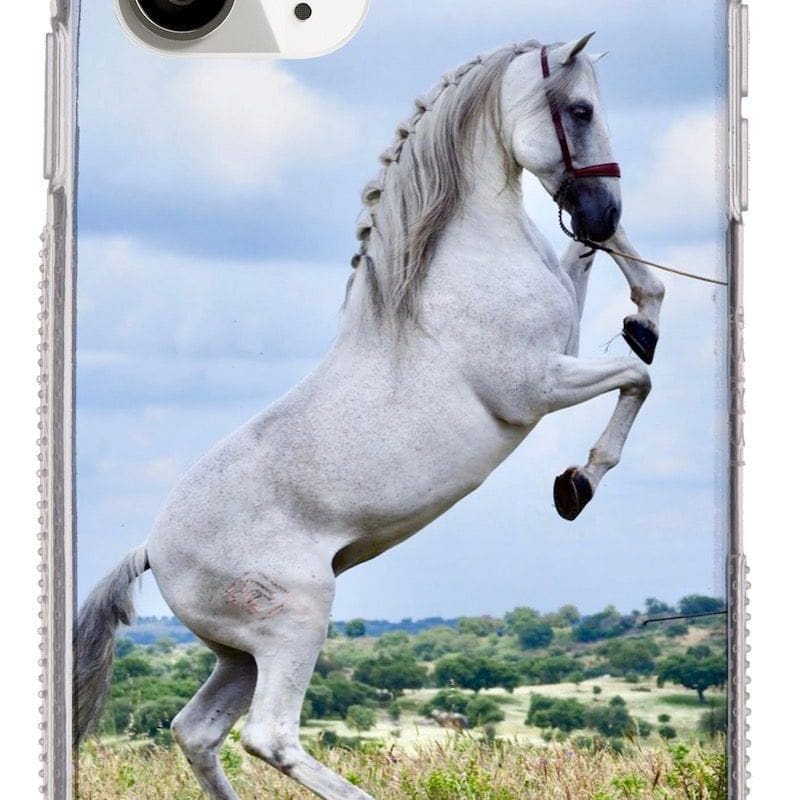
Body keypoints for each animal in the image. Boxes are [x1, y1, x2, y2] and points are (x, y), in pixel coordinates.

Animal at [74, 34, 664, 800]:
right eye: (582, 109)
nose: (601, 207)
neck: (457, 264)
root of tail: (152, 548)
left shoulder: (561, 330)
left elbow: (595, 270)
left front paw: (642, 315)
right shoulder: (537, 385)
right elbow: (638, 377)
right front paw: (578, 484)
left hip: (239, 655)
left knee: (196, 731)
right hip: (294, 623)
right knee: (269, 736)